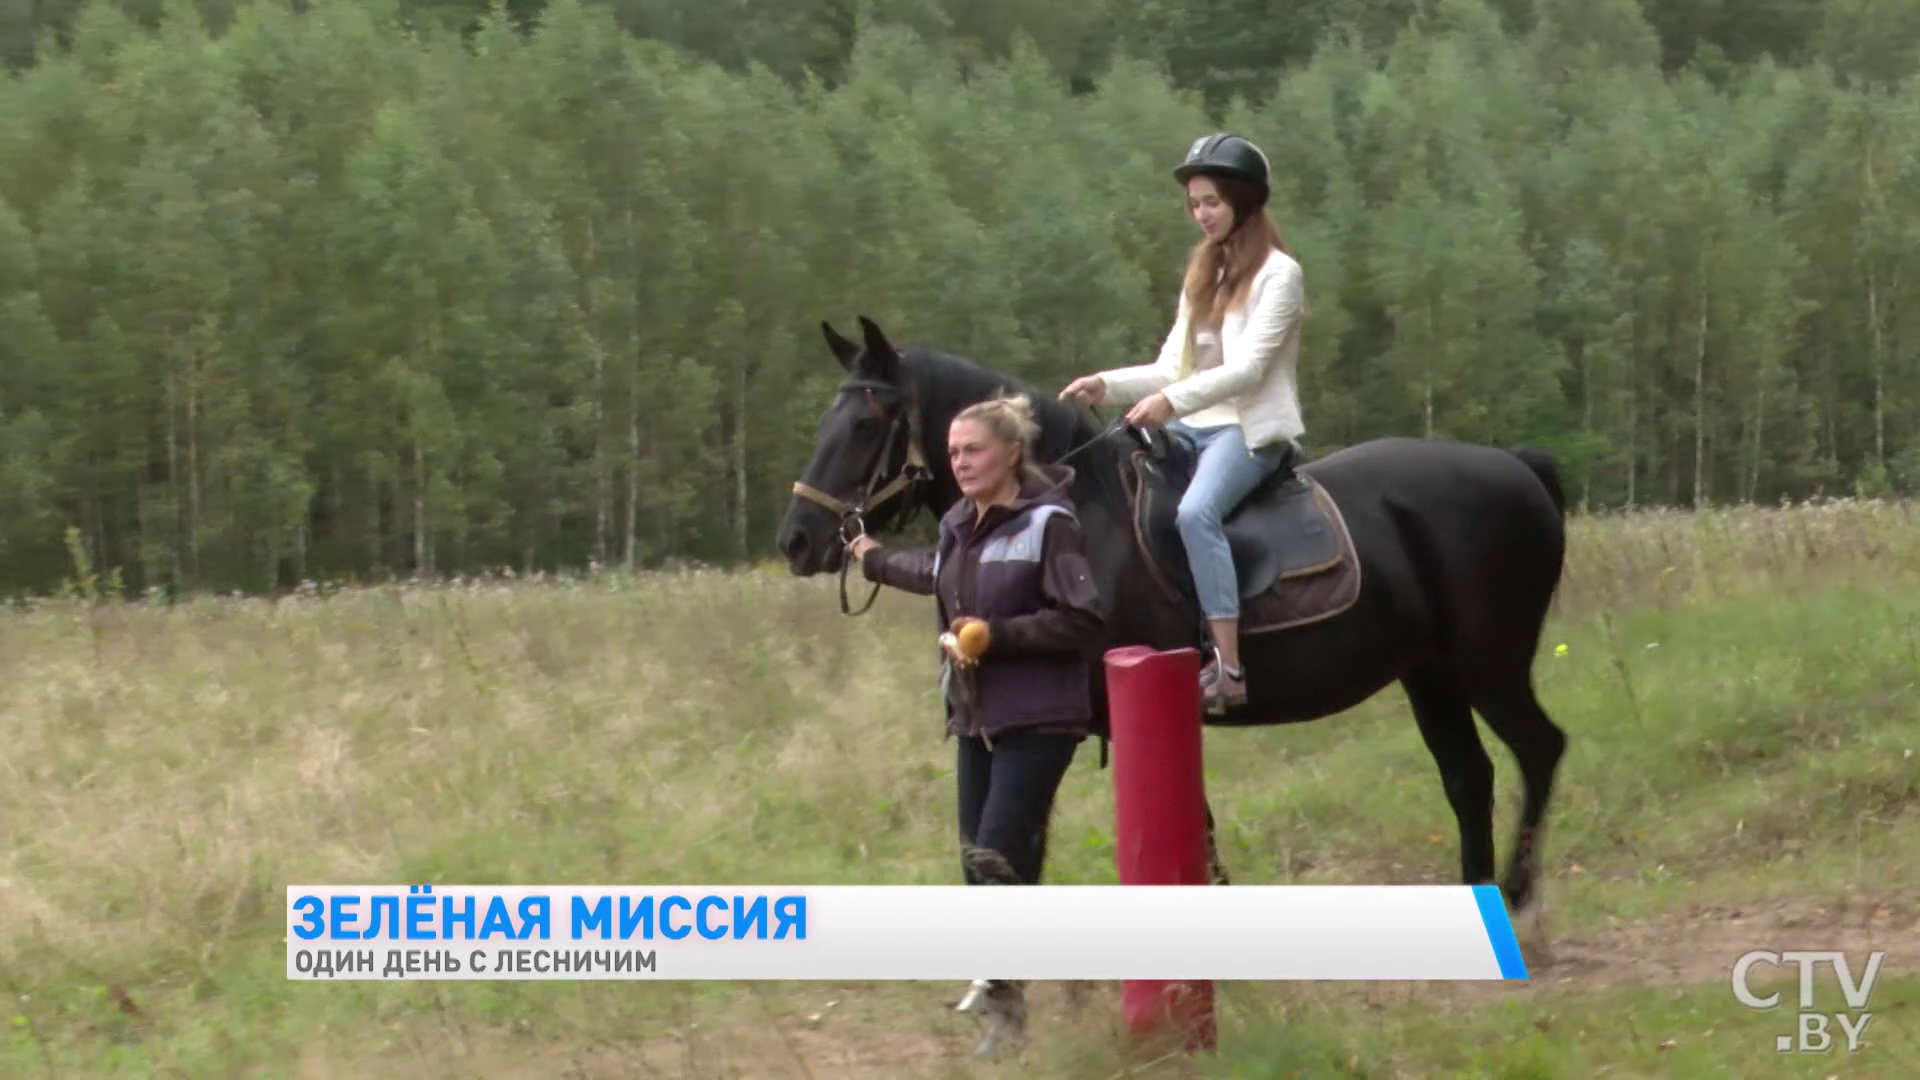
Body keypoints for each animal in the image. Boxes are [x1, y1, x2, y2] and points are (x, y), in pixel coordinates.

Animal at [775, 313, 1574, 933]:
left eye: (866, 422)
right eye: (823, 419)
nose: (798, 540)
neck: (1072, 509)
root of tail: (1518, 466)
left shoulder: (1074, 723)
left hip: (1490, 664)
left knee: (1539, 749)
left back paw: (1521, 901)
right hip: (1430, 674)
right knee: (1468, 776)